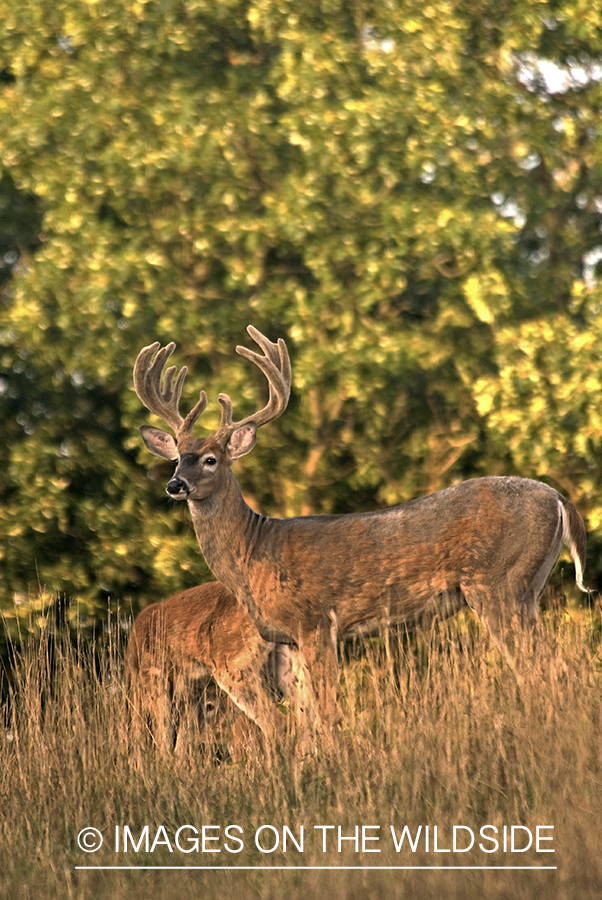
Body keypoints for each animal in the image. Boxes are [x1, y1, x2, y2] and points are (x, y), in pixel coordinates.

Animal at [124, 580, 308, 756]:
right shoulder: (191, 694)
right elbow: (180, 745)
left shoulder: (156, 680)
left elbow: (160, 739)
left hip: (232, 668)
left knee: (279, 723)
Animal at [132, 326, 584, 728]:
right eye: (178, 458)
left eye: (211, 459)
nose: (175, 485)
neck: (253, 551)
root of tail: (558, 500)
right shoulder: (290, 639)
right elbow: (308, 718)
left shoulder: (315, 619)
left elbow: (326, 710)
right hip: (526, 587)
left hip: (499, 582)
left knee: (544, 667)